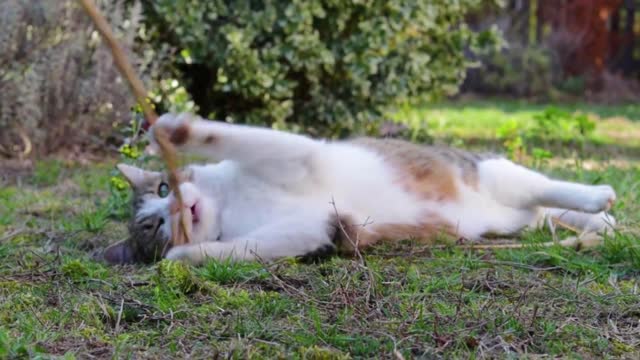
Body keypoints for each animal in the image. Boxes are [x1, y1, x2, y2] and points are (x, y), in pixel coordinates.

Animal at [102, 112, 616, 264]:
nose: (176, 209)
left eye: (164, 186)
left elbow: (237, 137)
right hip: (508, 213)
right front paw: (182, 256)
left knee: (547, 188)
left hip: (491, 170)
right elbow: (240, 248)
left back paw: (596, 198)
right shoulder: (312, 227)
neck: (231, 206)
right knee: (537, 210)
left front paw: (171, 130)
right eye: (152, 226)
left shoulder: (295, 156)